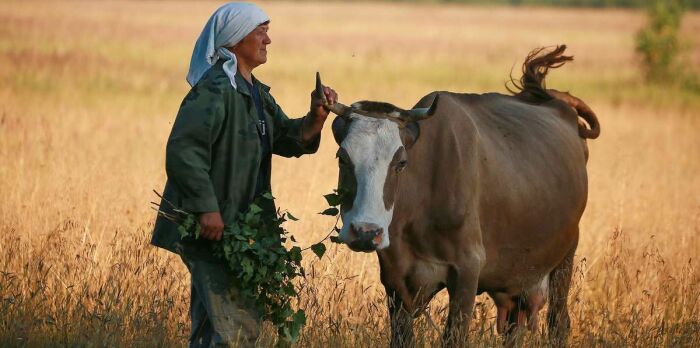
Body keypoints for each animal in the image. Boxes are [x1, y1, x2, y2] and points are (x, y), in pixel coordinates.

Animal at [320, 45, 600, 346]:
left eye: (401, 163)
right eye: (342, 158)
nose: (365, 232)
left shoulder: (467, 271)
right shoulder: (395, 280)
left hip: (565, 258)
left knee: (559, 324)